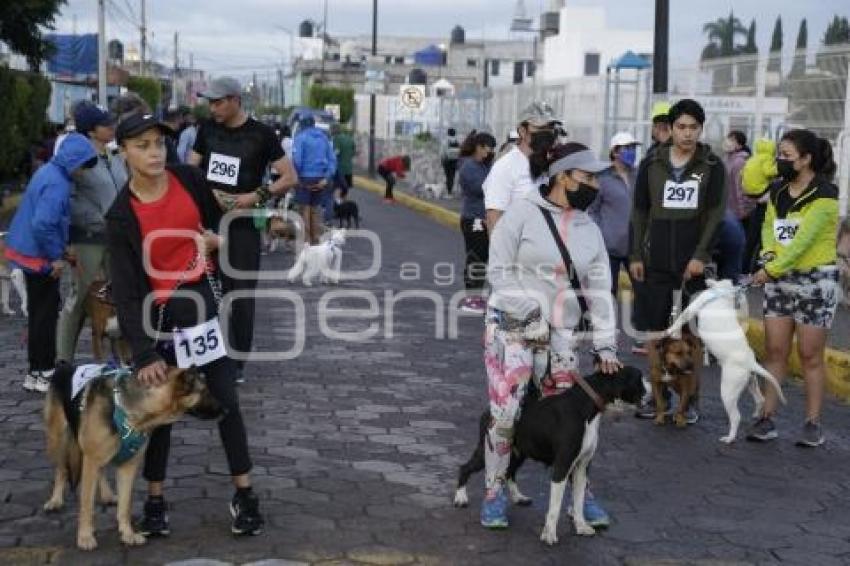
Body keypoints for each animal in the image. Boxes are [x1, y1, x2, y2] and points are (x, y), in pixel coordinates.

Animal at [43, 362, 219, 552]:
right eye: (204, 391)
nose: (227, 410)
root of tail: (64, 365)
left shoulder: (128, 466)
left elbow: (125, 505)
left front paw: (128, 534)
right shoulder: (91, 460)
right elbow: (87, 504)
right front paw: (85, 537)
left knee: (100, 471)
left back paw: (107, 495)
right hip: (58, 439)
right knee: (61, 469)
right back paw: (55, 500)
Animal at [450, 368, 644, 544]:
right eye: (640, 379)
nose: (648, 394)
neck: (585, 407)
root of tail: (490, 409)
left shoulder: (581, 467)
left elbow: (579, 501)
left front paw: (581, 526)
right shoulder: (562, 466)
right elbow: (554, 508)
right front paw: (549, 534)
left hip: (517, 454)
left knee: (509, 473)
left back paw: (518, 497)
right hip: (490, 452)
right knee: (465, 468)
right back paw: (460, 497)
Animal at [664, 282, 784, 446]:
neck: (721, 291)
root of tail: (751, 362)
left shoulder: (692, 308)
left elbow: (679, 320)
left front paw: (670, 330)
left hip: (728, 391)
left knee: (736, 417)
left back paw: (730, 438)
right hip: (749, 382)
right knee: (761, 400)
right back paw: (756, 415)